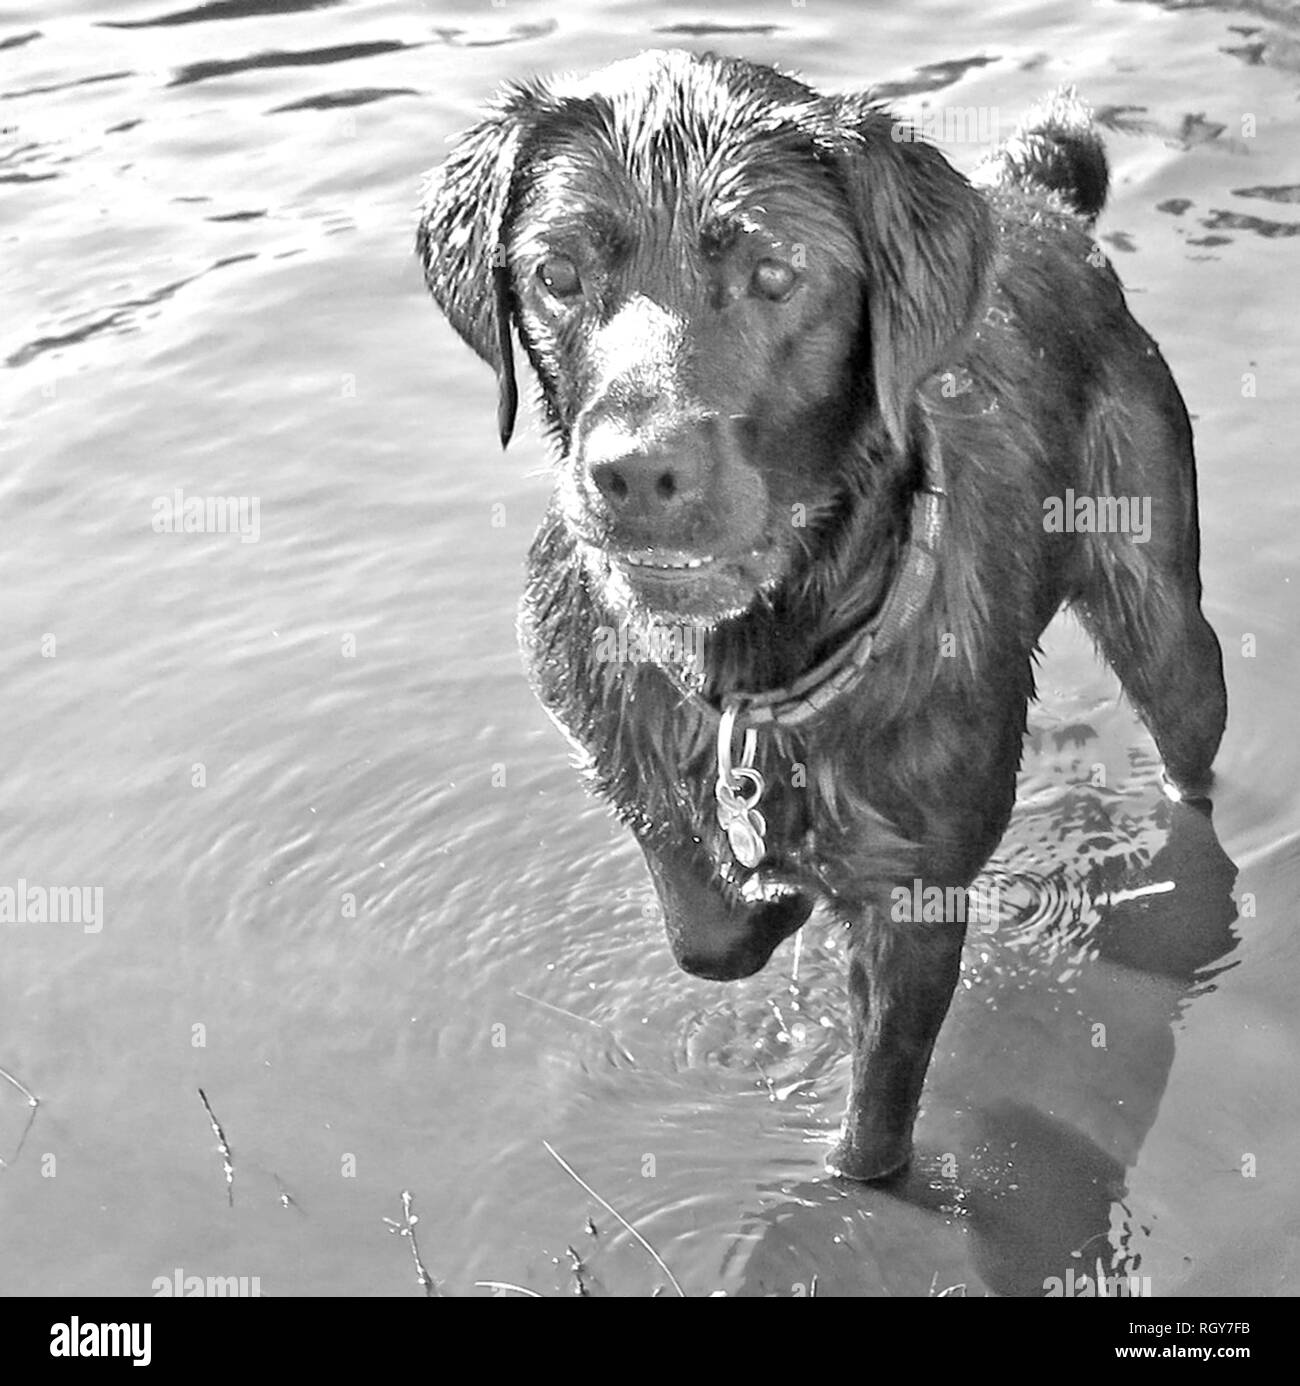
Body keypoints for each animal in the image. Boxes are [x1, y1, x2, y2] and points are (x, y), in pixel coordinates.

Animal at [418, 54, 1225, 1180]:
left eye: (774, 275)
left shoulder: (915, 899)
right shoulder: (612, 738)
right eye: (557, 276)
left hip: (1167, 629)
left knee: (1190, 762)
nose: (635, 472)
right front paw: (766, 899)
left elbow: (875, 1123)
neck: (747, 673)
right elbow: (701, 922)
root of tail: (1038, 198)